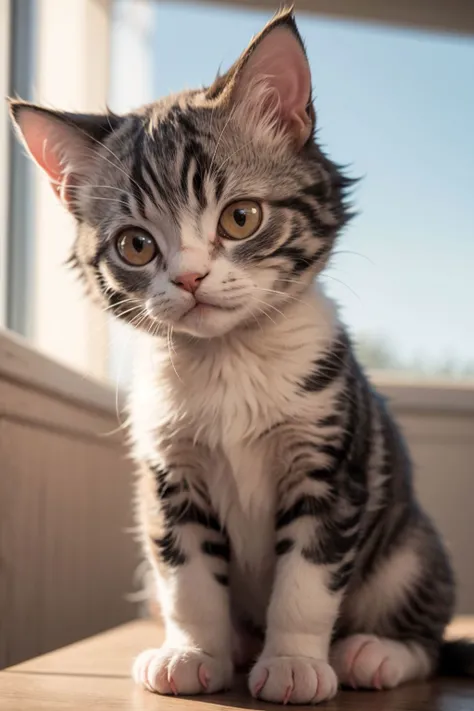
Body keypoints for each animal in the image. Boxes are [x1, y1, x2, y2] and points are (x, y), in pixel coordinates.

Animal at [9, 9, 472, 708]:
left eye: (241, 217)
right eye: (136, 245)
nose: (191, 278)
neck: (231, 359)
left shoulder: (333, 465)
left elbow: (307, 580)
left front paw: (295, 662)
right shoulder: (168, 478)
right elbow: (189, 578)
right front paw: (193, 653)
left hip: (411, 545)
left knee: (427, 633)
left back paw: (374, 653)